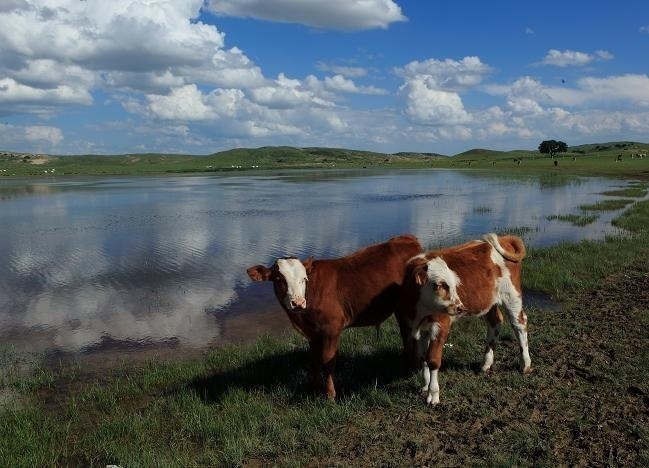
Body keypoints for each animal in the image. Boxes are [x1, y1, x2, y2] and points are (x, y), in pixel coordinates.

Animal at [246, 234, 422, 398]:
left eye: (304, 279)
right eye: (278, 279)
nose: (298, 302)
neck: (303, 318)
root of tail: (405, 238)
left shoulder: (332, 327)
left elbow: (327, 360)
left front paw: (330, 394)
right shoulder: (312, 333)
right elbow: (314, 360)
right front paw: (316, 389)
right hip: (400, 308)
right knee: (406, 332)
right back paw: (408, 364)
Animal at [400, 234, 532, 406]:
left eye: (454, 284)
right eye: (439, 285)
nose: (460, 307)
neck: (421, 311)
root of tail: (504, 239)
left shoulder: (440, 326)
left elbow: (433, 359)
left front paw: (433, 395)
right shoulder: (421, 328)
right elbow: (423, 358)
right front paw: (424, 385)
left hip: (512, 295)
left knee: (519, 324)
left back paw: (525, 364)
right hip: (490, 302)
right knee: (495, 322)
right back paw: (486, 364)